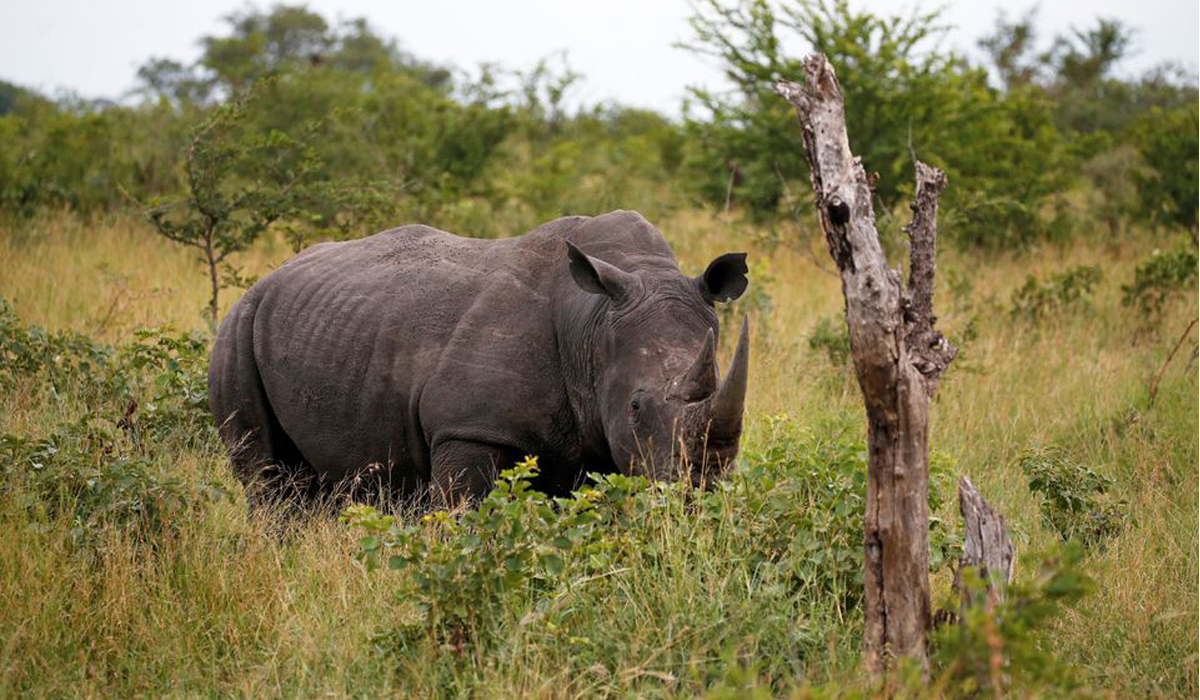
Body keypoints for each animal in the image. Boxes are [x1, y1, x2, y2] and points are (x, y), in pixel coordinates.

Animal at [208, 210, 750, 504]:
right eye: (636, 407)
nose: (697, 491)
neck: (592, 323)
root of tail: (270, 277)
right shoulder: (468, 428)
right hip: (237, 329)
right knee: (270, 485)